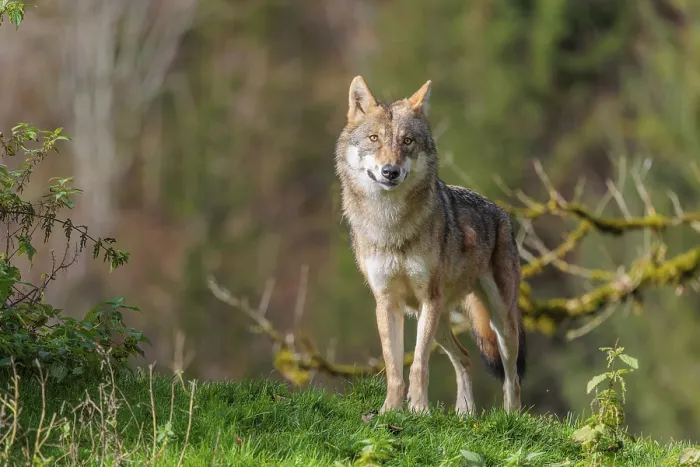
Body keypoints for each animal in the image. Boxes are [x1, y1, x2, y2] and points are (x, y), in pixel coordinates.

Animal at [334, 76, 526, 415]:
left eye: (408, 141)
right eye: (374, 138)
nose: (390, 171)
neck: (391, 226)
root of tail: (500, 211)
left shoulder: (429, 299)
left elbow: (418, 365)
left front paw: (420, 410)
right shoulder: (387, 302)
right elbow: (394, 366)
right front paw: (390, 411)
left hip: (499, 321)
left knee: (511, 377)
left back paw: (510, 418)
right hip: (440, 324)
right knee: (464, 358)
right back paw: (464, 415)